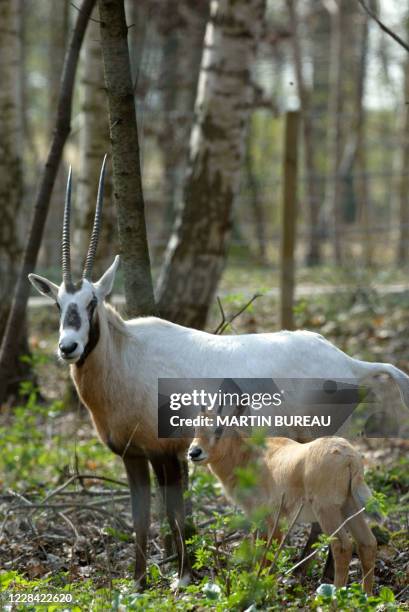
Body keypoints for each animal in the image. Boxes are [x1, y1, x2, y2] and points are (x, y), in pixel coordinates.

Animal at [188, 430, 376, 592]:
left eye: (219, 429)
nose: (194, 452)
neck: (249, 456)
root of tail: (350, 458)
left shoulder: (271, 519)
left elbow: (267, 551)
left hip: (327, 510)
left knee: (342, 546)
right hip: (349, 507)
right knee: (367, 543)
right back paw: (365, 596)